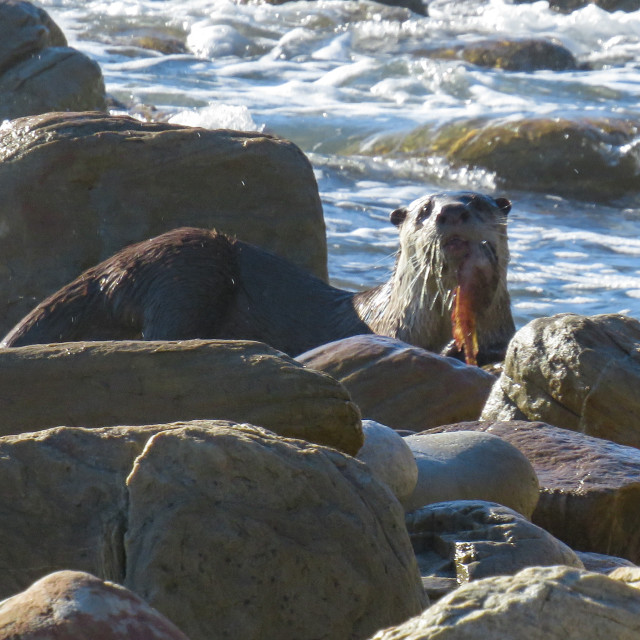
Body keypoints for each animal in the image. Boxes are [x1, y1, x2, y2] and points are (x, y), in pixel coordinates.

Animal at [0, 191, 516, 364]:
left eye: (477, 203)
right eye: (424, 209)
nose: (450, 211)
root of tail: (109, 268)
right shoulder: (390, 332)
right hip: (187, 267)